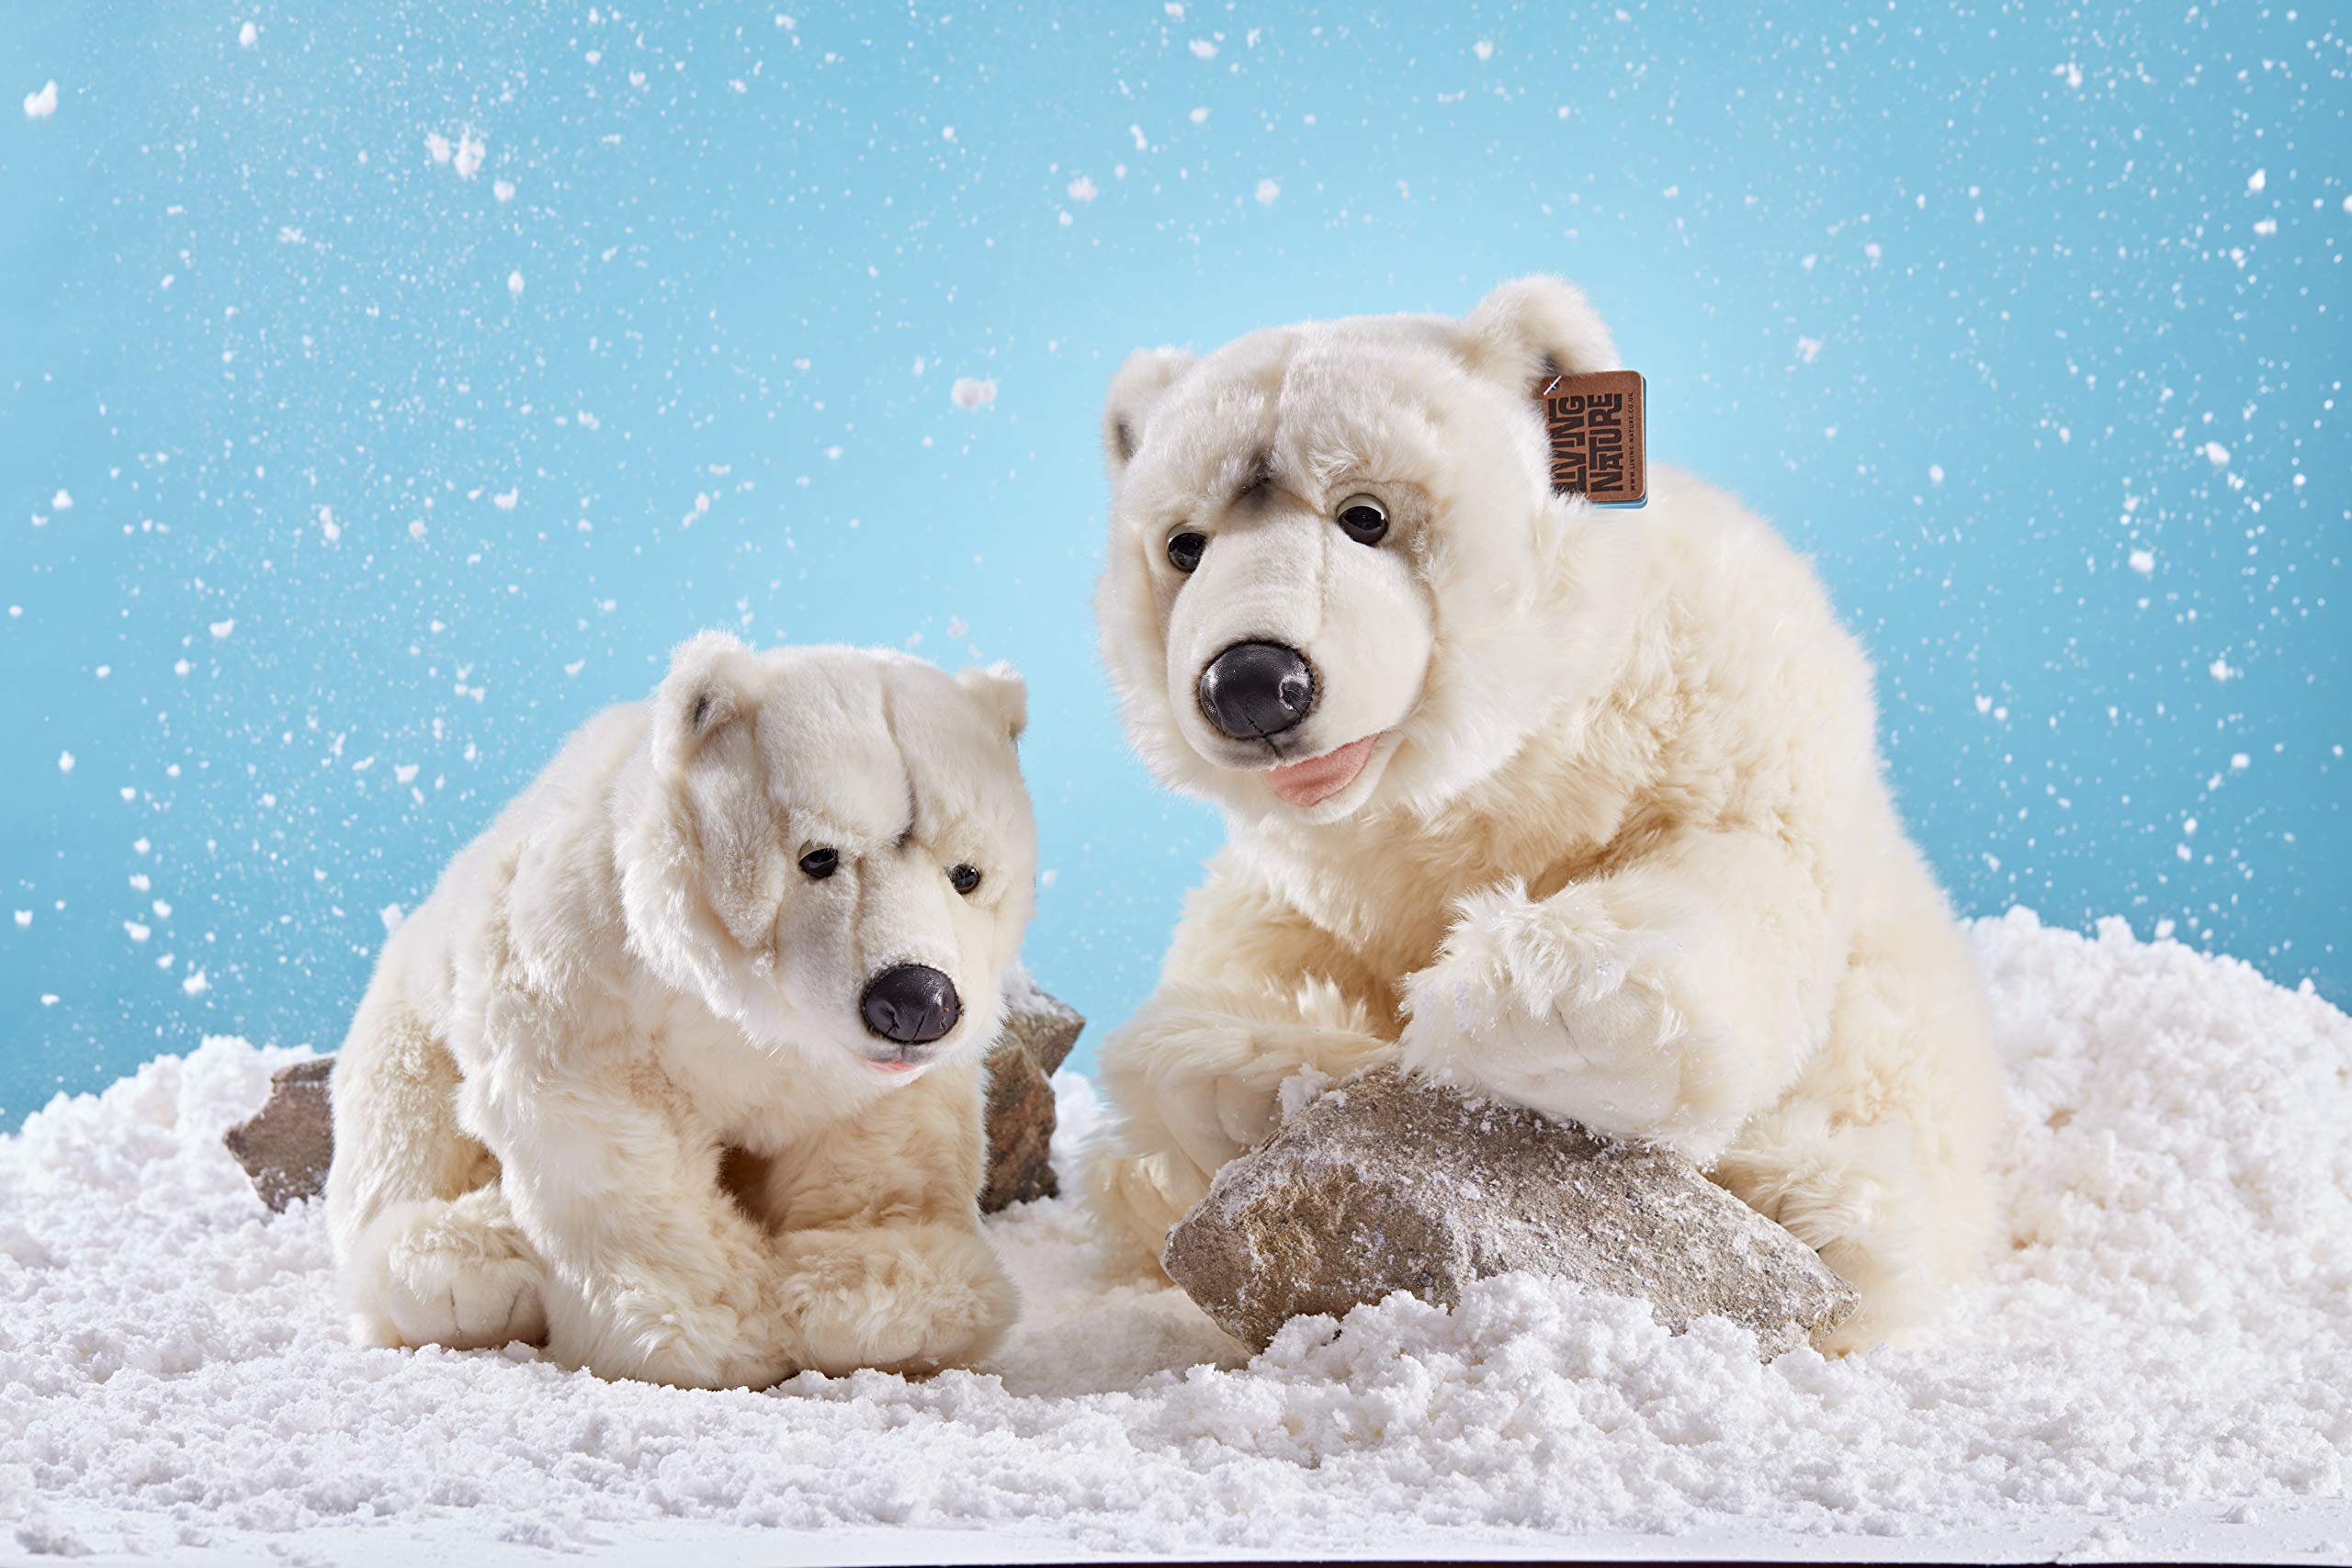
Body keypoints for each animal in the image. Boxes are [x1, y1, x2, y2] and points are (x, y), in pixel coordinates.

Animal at [324, 634, 1036, 1388]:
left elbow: (881, 1148)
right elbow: (623, 1145)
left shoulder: (864, 1074)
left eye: (968, 873)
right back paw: (466, 1272)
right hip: (409, 1032)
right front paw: (711, 1330)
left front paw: (887, 1308)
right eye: (818, 856)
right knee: (406, 1145)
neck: (750, 1015)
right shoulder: (592, 973)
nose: (916, 1000)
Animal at [1084, 276, 2003, 1353]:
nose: (1250, 683)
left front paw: (1552, 1006)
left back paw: (1806, 1199)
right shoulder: (1317, 873)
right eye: (1183, 545)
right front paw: (1237, 1066)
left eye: (1365, 515)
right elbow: (1254, 942)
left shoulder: (1720, 705)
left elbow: (1739, 870)